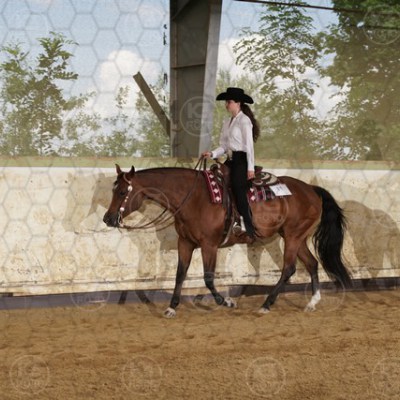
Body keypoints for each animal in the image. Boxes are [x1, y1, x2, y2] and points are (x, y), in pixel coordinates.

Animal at [103, 163, 352, 318]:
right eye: (113, 190)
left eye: (123, 191)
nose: (108, 218)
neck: (194, 198)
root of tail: (311, 189)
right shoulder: (185, 243)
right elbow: (180, 274)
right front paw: (172, 308)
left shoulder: (209, 245)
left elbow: (208, 278)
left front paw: (227, 302)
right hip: (296, 237)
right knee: (311, 263)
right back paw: (312, 302)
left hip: (292, 236)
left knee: (289, 269)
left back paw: (266, 305)